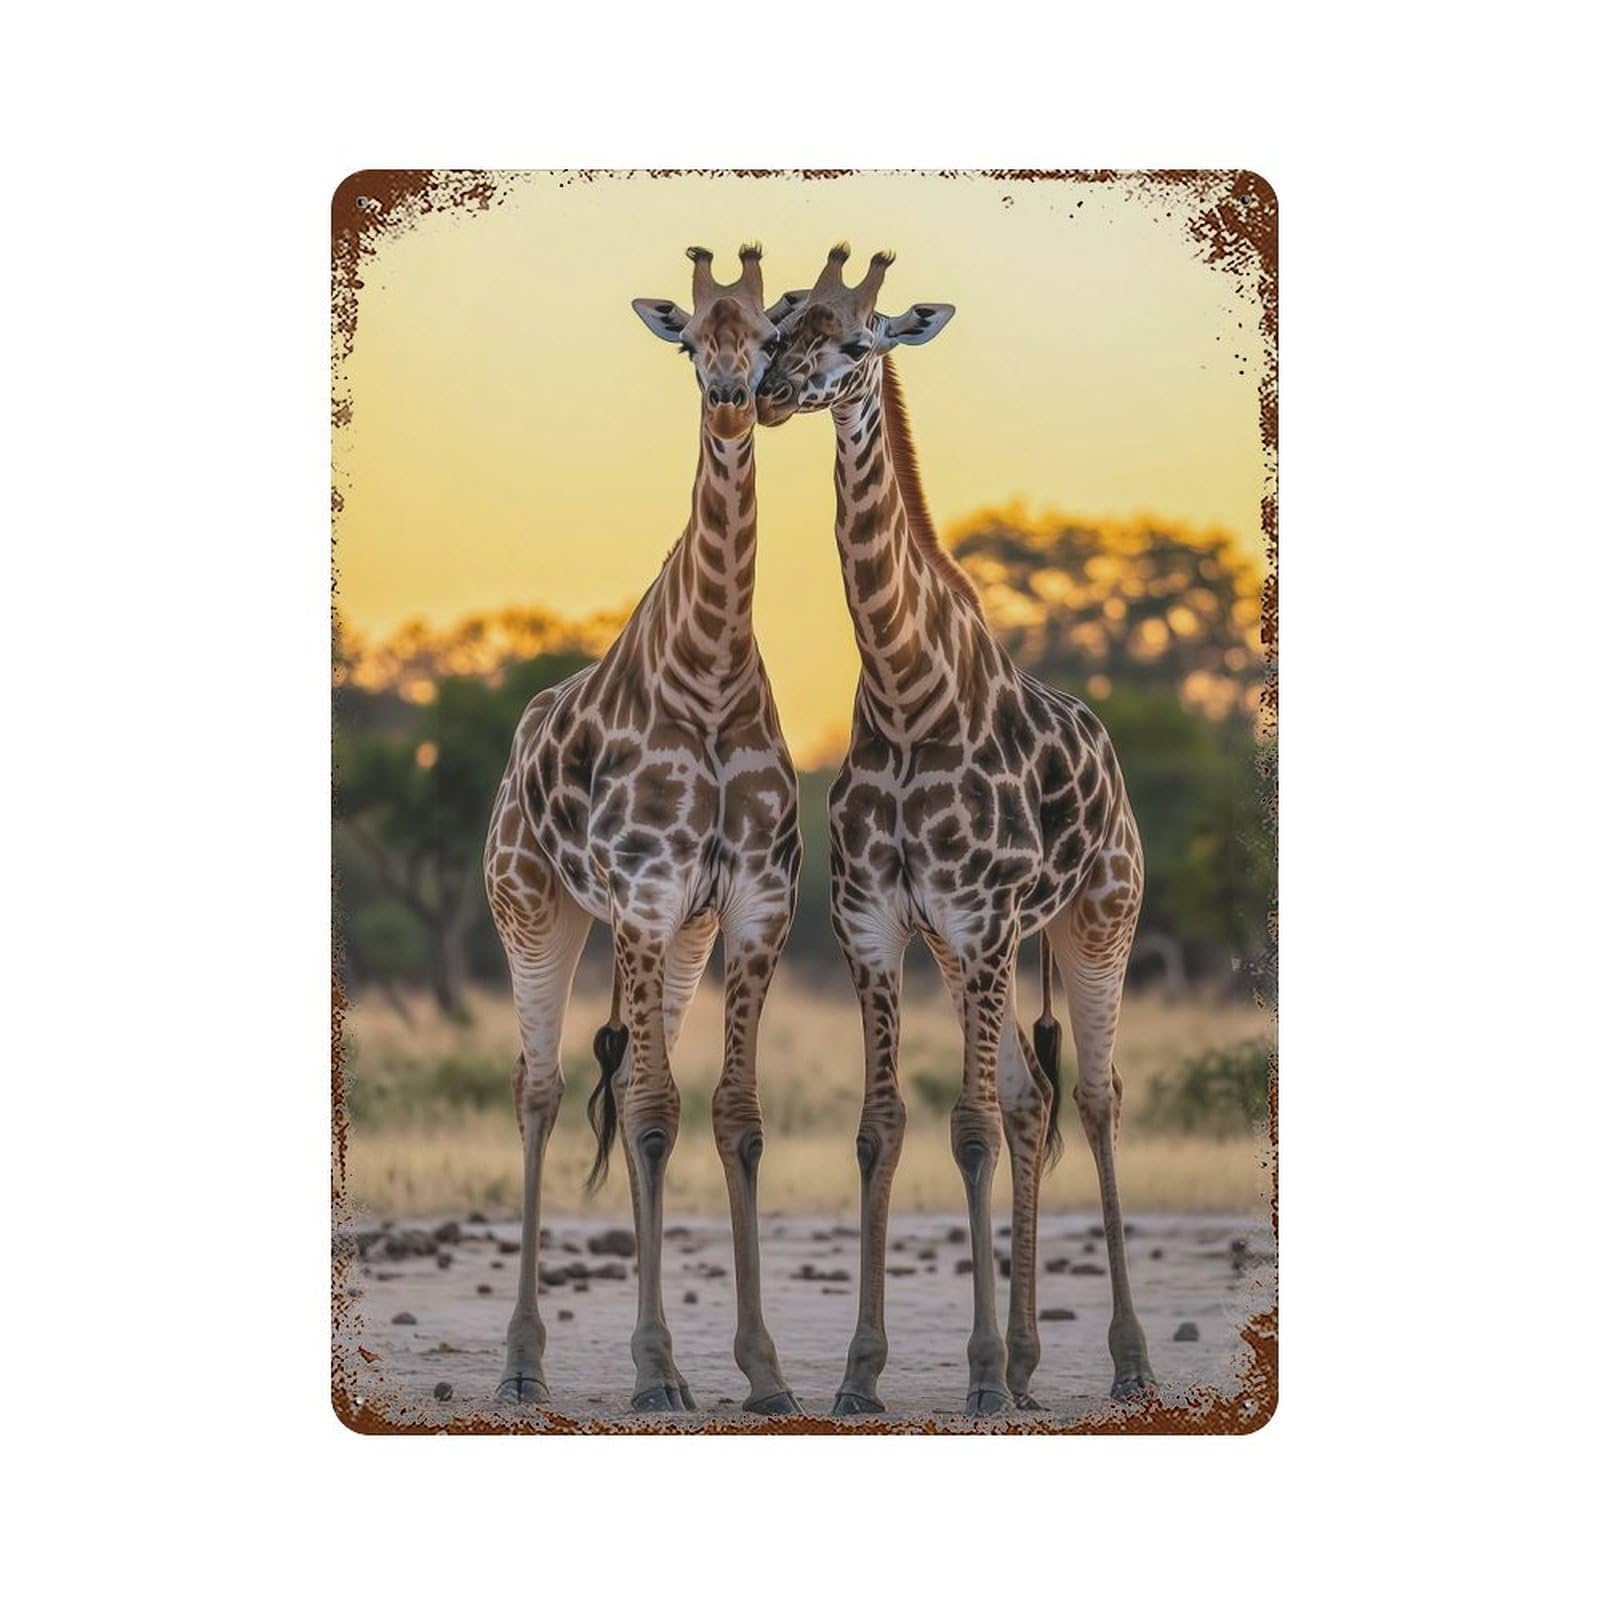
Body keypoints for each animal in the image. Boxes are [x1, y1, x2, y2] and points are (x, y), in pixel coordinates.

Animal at [482, 244, 802, 1415]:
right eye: (688, 343)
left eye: (768, 335)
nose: (732, 401)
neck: (708, 676)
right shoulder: (645, 893)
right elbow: (658, 1109)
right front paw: (659, 1369)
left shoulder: (748, 905)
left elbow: (733, 1115)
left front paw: (760, 1370)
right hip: (537, 910)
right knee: (537, 1091)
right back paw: (524, 1361)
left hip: (669, 939)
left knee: (621, 1092)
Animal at [757, 245, 1156, 1415]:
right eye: (777, 328)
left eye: (856, 340)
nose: (769, 393)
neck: (905, 700)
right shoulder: (878, 927)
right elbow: (883, 1126)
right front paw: (860, 1373)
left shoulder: (981, 925)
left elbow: (967, 1129)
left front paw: (972, 1375)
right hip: (978, 948)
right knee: (1031, 1099)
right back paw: (1026, 1366)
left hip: (1095, 920)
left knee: (1097, 1098)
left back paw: (1124, 1360)